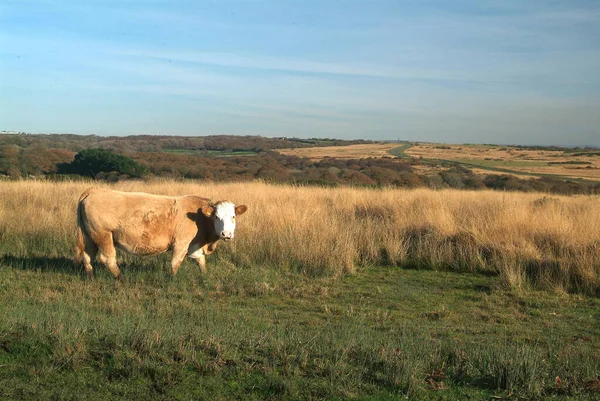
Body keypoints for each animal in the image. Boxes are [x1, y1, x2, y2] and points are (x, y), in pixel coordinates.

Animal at [75, 188, 248, 278]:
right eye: (216, 216)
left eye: (233, 216)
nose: (226, 234)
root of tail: (95, 190)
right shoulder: (181, 243)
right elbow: (176, 262)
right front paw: (172, 279)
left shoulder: (194, 245)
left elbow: (200, 260)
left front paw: (204, 275)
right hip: (103, 236)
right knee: (108, 258)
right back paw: (120, 277)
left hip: (90, 236)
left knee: (88, 256)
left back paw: (91, 276)